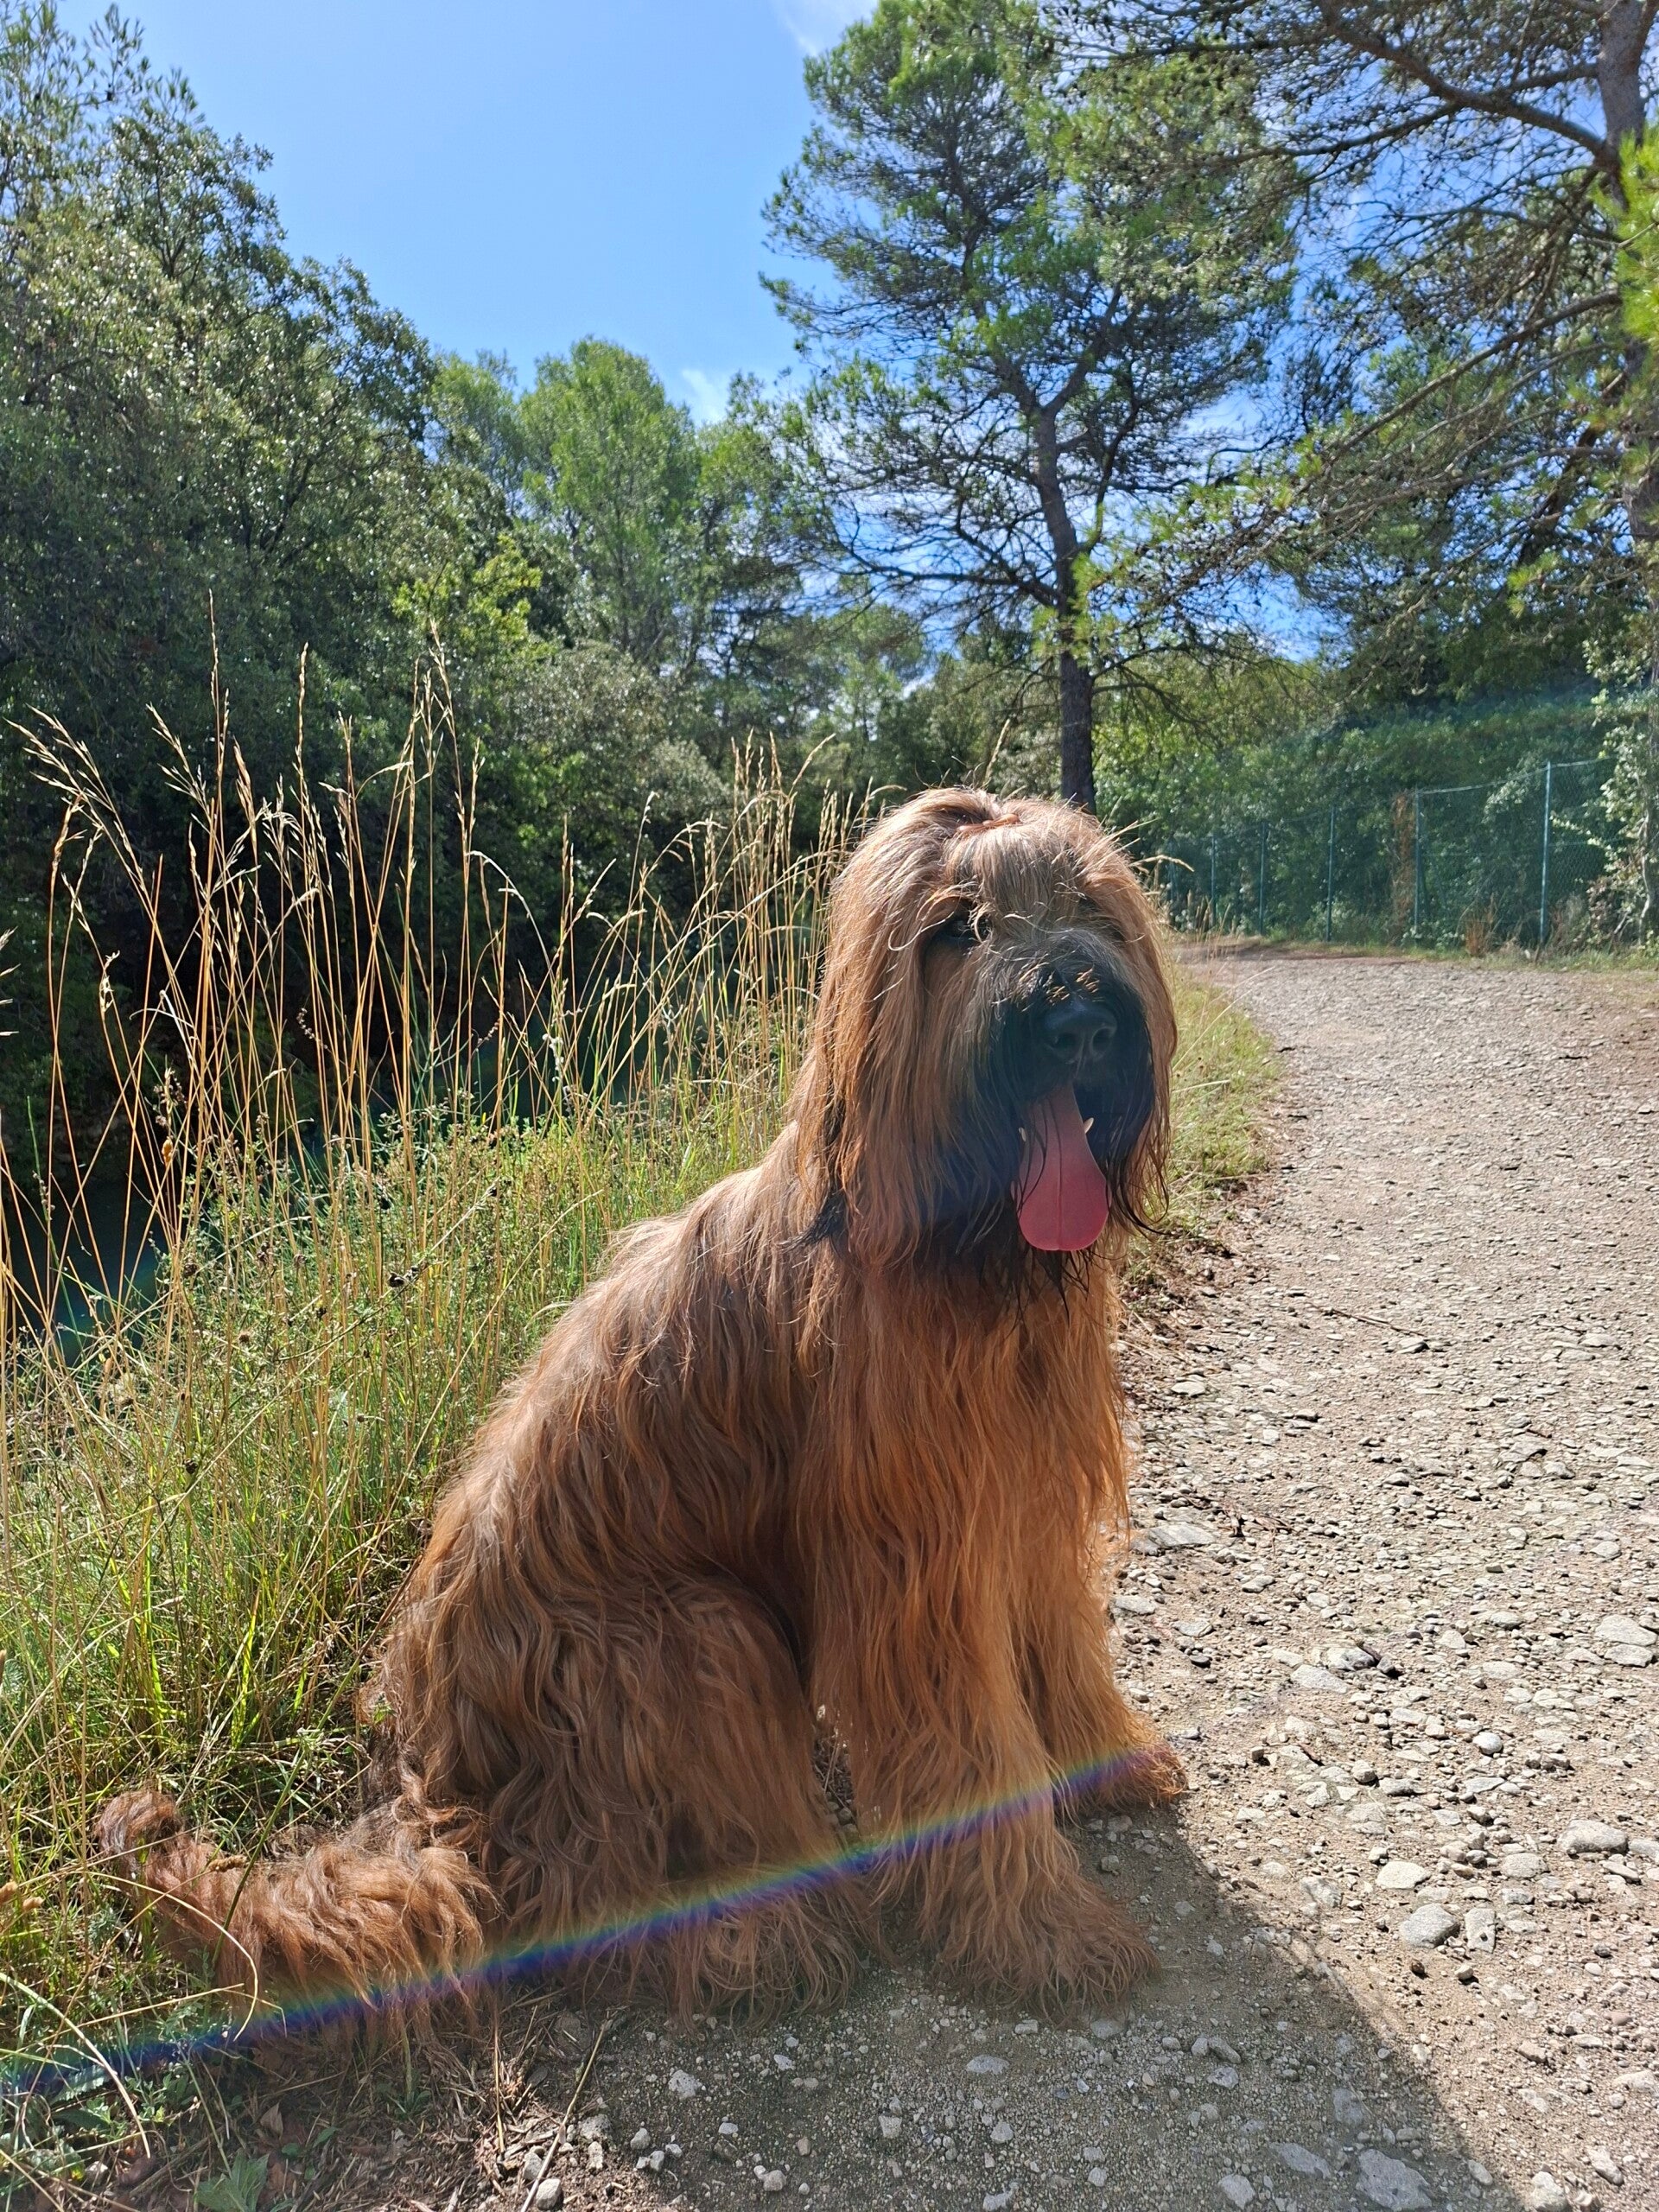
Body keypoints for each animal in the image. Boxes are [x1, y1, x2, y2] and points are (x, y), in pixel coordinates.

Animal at [100, 786, 1183, 2019]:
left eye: (1089, 903)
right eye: (958, 928)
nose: (1079, 1021)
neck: (961, 1246)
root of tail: (441, 1792)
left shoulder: (1027, 1502)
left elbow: (1063, 1643)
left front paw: (1105, 1761)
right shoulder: (915, 1572)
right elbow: (971, 1752)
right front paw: (1042, 1928)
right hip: (687, 1639)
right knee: (585, 1901)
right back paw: (754, 1938)